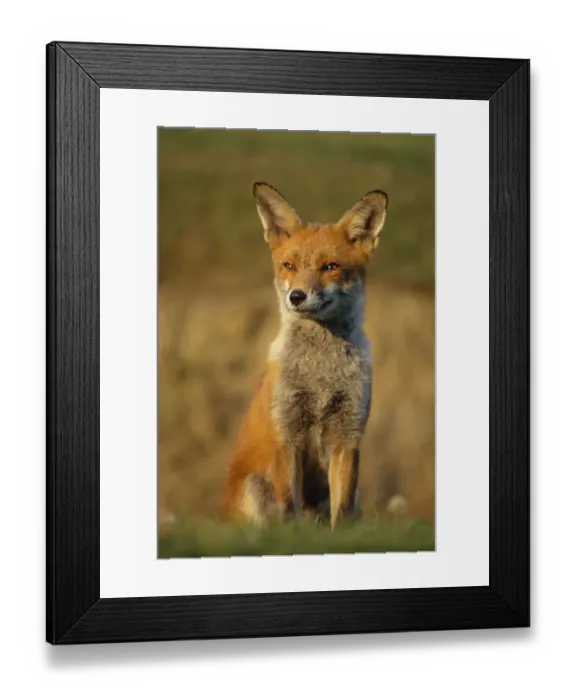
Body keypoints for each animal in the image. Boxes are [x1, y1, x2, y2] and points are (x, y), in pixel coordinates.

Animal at [220, 182, 388, 531]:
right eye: (289, 266)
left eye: (330, 267)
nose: (296, 296)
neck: (321, 377)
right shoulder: (287, 433)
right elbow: (288, 507)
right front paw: (290, 538)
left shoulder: (347, 435)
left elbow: (342, 509)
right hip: (255, 488)